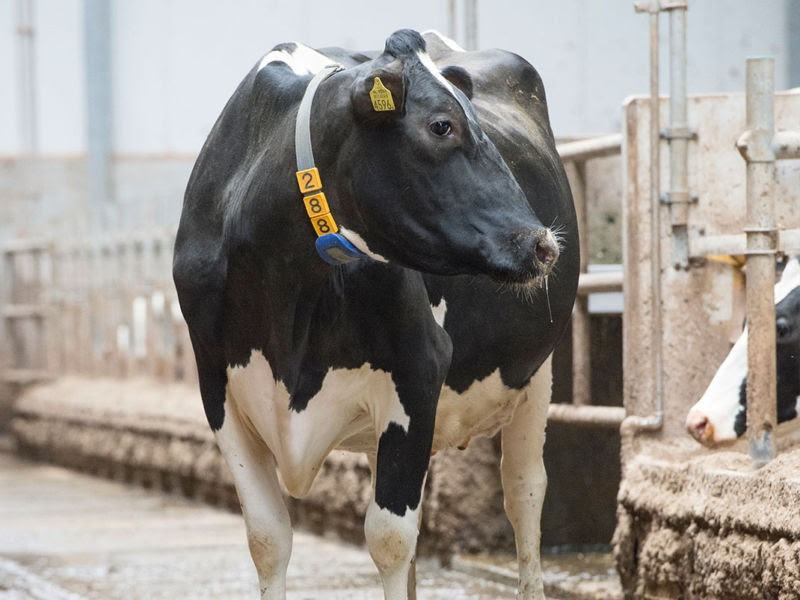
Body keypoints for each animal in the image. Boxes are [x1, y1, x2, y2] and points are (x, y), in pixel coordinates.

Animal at [172, 29, 580, 600]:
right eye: (442, 125)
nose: (542, 244)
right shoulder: (218, 386)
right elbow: (268, 537)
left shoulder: (418, 369)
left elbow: (388, 537)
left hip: (535, 375)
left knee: (524, 494)